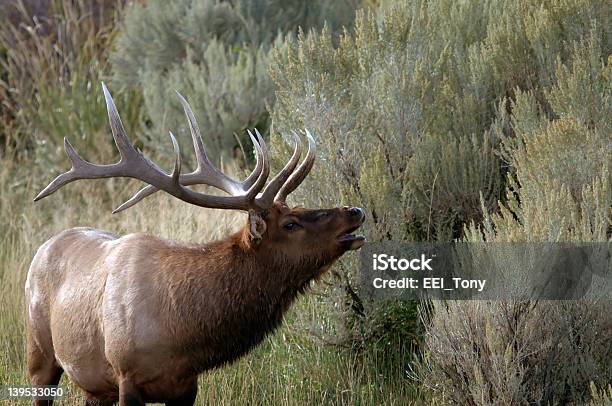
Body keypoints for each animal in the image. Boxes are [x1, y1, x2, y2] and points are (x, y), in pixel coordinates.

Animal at [26, 84, 366, 404]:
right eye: (290, 224)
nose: (355, 211)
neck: (182, 335)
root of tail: (44, 247)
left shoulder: (186, 387)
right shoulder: (125, 375)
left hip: (95, 388)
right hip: (39, 354)